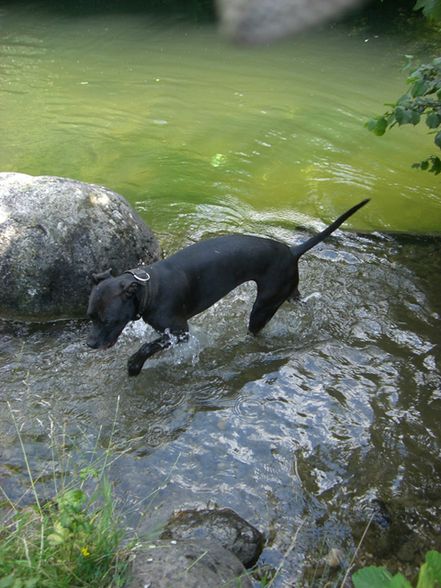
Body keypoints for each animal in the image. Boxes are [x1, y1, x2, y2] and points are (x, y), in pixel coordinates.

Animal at [86, 200, 368, 376]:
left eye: (109, 321)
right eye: (90, 317)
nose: (89, 344)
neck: (149, 288)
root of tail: (291, 251)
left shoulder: (180, 331)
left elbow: (148, 347)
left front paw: (134, 365)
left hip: (262, 308)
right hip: (287, 293)